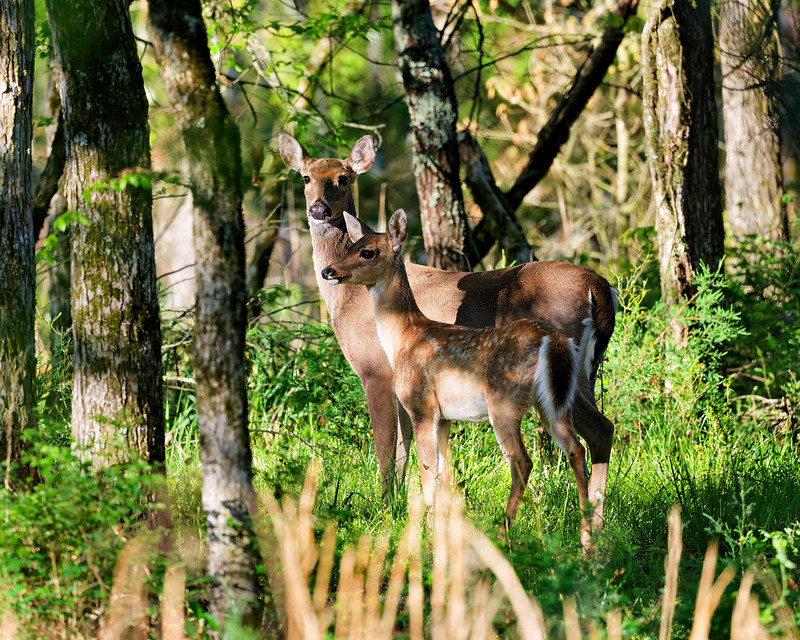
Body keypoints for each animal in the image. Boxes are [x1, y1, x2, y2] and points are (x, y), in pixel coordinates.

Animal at [321, 210, 596, 550]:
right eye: (349, 246)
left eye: (368, 252)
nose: (327, 270)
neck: (404, 339)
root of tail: (552, 341)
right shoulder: (445, 418)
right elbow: (443, 475)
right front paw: (439, 534)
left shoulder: (421, 406)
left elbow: (427, 472)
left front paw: (424, 537)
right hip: (553, 401)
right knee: (576, 449)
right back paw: (587, 540)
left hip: (505, 401)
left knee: (522, 461)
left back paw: (503, 535)